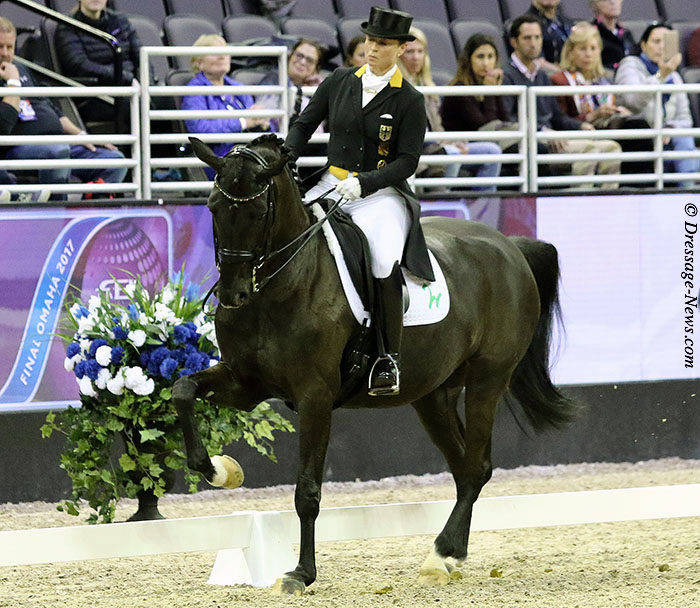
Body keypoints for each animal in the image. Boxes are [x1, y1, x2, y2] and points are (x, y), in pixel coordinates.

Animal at [172, 134, 577, 595]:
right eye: (212, 208)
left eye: (258, 213)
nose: (233, 295)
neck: (283, 284)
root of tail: (510, 247)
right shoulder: (244, 383)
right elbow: (182, 390)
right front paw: (219, 470)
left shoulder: (314, 397)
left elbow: (307, 491)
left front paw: (300, 573)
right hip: (434, 395)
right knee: (465, 469)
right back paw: (448, 556)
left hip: (487, 381)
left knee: (476, 466)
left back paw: (442, 554)